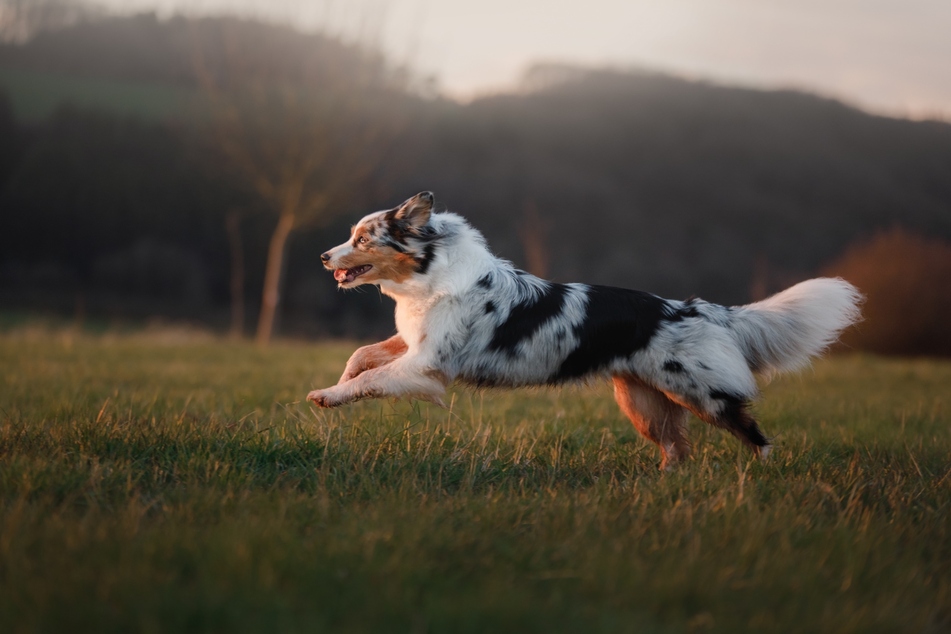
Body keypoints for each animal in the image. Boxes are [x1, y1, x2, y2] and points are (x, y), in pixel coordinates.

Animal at [312, 193, 864, 470]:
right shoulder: (412, 345)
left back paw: (766, 476)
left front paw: (326, 396)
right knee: (677, 450)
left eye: (362, 239)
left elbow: (371, 380)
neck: (431, 274)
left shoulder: (427, 366)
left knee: (752, 432)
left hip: (701, 394)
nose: (322, 255)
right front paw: (337, 382)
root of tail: (703, 309)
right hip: (642, 402)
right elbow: (362, 356)